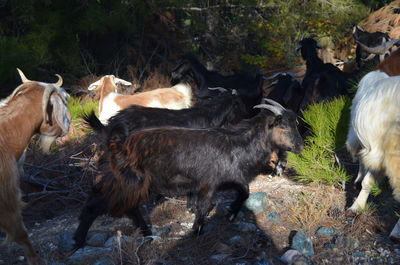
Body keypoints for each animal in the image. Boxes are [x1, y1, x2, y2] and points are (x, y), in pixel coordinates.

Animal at [72, 98, 304, 249]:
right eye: (283, 126)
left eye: (296, 123)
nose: (301, 146)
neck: (237, 144)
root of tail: (115, 144)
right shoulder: (209, 184)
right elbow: (205, 207)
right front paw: (197, 231)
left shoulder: (224, 180)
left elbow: (244, 192)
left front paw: (229, 214)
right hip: (128, 183)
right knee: (98, 205)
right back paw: (79, 241)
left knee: (127, 208)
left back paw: (147, 235)